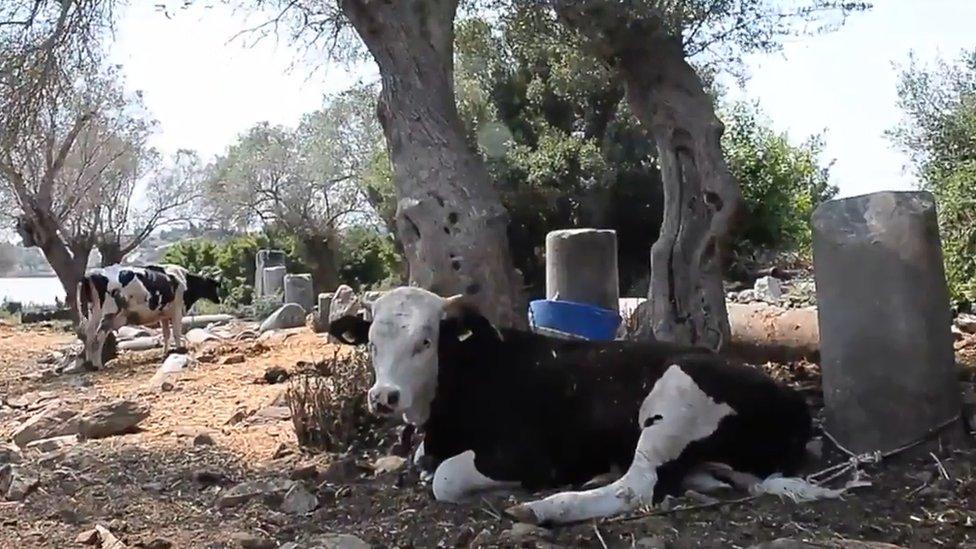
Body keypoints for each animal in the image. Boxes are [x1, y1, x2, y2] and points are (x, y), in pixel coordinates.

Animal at [76, 262, 221, 368]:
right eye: (214, 286)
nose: (219, 300)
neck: (184, 280)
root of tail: (92, 274)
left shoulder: (163, 315)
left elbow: (166, 334)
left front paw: (165, 353)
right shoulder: (177, 310)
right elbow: (176, 332)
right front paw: (180, 349)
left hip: (94, 312)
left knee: (89, 334)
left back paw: (89, 364)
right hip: (109, 313)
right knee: (99, 337)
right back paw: (98, 365)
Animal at [330, 284, 832, 524]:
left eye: (425, 341)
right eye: (372, 343)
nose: (384, 397)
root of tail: (794, 402)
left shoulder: (527, 454)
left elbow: (445, 478)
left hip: (674, 402)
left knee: (636, 488)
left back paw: (546, 508)